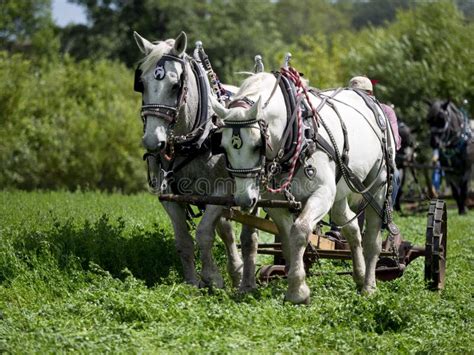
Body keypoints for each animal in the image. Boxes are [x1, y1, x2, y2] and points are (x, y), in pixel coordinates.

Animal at [133, 31, 258, 292]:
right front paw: (191, 283)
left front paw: (212, 277)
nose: (152, 141)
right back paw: (236, 272)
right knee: (227, 230)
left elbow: (203, 234)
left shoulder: (222, 190)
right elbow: (183, 238)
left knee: (248, 235)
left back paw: (246, 280)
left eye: (175, 85)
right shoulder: (168, 195)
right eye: (142, 83)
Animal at [212, 71, 396, 304]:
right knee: (352, 228)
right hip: (339, 195)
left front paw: (297, 292)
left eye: (257, 145)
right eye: (223, 146)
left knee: (372, 239)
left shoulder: (322, 193)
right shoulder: (278, 203)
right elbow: (287, 238)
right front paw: (295, 280)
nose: (245, 200)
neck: (298, 134)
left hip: (378, 185)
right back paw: (360, 274)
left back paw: (369, 286)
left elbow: (299, 232)